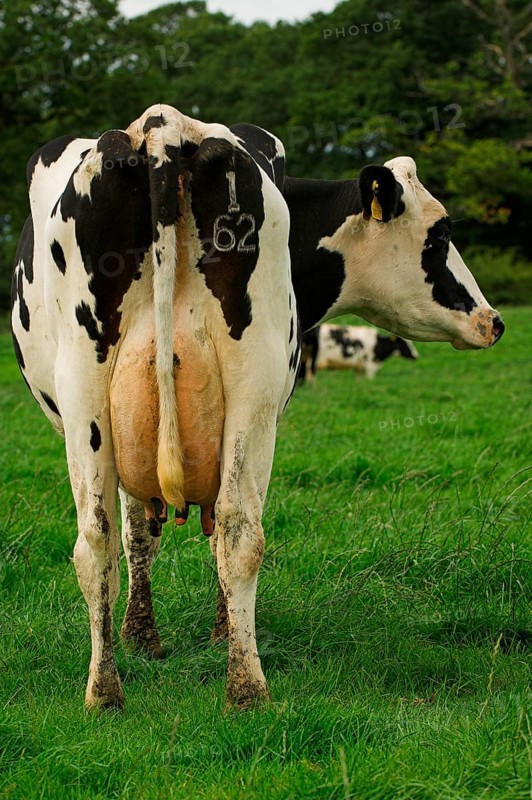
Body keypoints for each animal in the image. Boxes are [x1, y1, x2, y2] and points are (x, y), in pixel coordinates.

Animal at [11, 104, 504, 711]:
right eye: (440, 235)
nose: (493, 320)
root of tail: (162, 124)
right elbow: (154, 536)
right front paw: (189, 633)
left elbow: (139, 535)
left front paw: (148, 637)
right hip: (251, 394)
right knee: (235, 528)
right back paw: (245, 686)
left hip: (91, 395)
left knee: (104, 539)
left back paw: (109, 692)